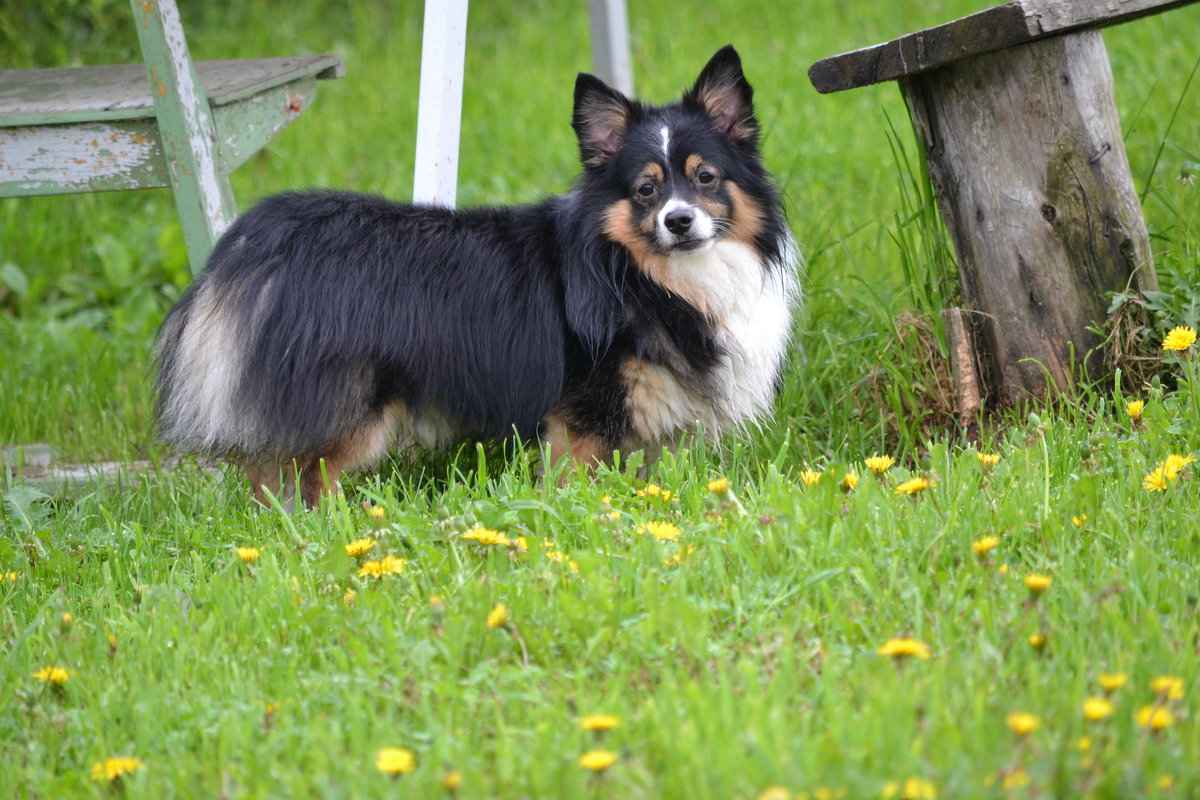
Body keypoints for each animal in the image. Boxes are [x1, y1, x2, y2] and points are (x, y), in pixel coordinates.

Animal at [157, 45, 796, 506]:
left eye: (706, 178)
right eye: (645, 190)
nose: (678, 221)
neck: (653, 277)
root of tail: (255, 239)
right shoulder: (582, 417)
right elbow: (575, 481)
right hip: (351, 405)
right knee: (305, 473)